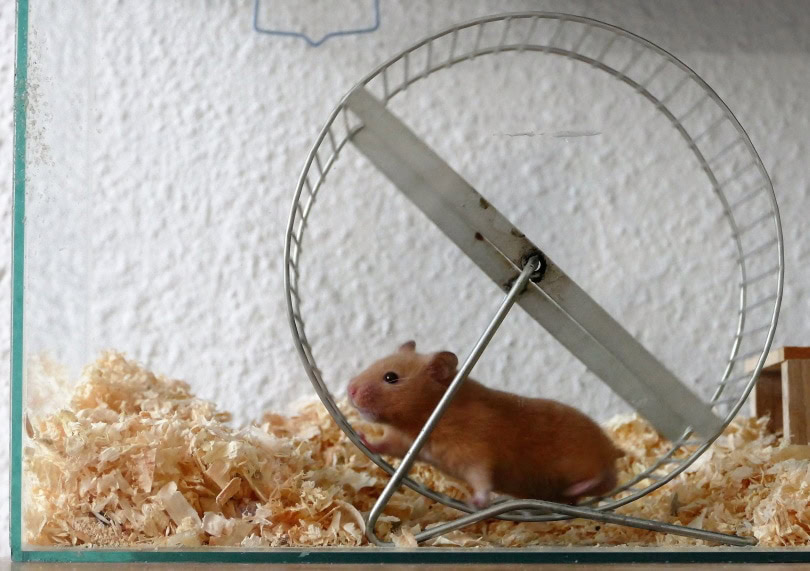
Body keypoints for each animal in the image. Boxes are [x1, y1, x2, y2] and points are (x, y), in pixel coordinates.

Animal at [347, 341, 624, 508]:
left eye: (390, 378)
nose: (350, 390)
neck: (426, 419)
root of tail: (613, 449)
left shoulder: (476, 452)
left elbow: (482, 480)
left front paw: (476, 502)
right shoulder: (404, 443)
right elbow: (383, 445)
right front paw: (360, 436)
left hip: (585, 460)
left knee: (607, 479)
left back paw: (575, 487)